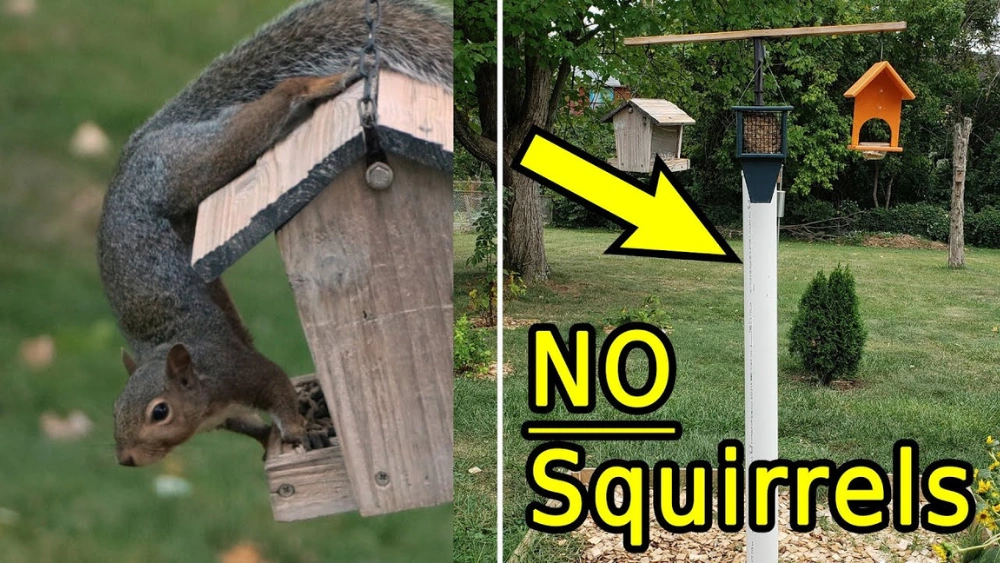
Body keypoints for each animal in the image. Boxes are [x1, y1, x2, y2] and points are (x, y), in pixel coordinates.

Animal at [97, 0, 452, 467]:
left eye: (160, 411)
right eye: (116, 409)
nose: (126, 458)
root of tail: (136, 150)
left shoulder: (240, 371)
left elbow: (278, 386)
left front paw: (299, 430)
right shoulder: (227, 415)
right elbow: (252, 425)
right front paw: (272, 439)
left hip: (193, 165)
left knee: (273, 101)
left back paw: (326, 82)